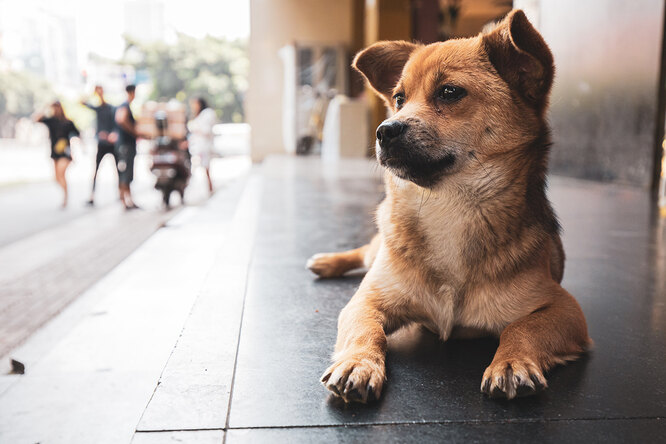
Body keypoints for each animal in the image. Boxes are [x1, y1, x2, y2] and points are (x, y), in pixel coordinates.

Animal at [308, 9, 592, 402]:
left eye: (450, 92)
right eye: (399, 98)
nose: (384, 130)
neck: (447, 207)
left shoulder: (566, 310)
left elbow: (520, 328)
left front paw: (511, 362)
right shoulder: (365, 301)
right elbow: (367, 329)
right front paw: (358, 363)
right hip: (376, 253)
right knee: (365, 251)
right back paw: (326, 261)